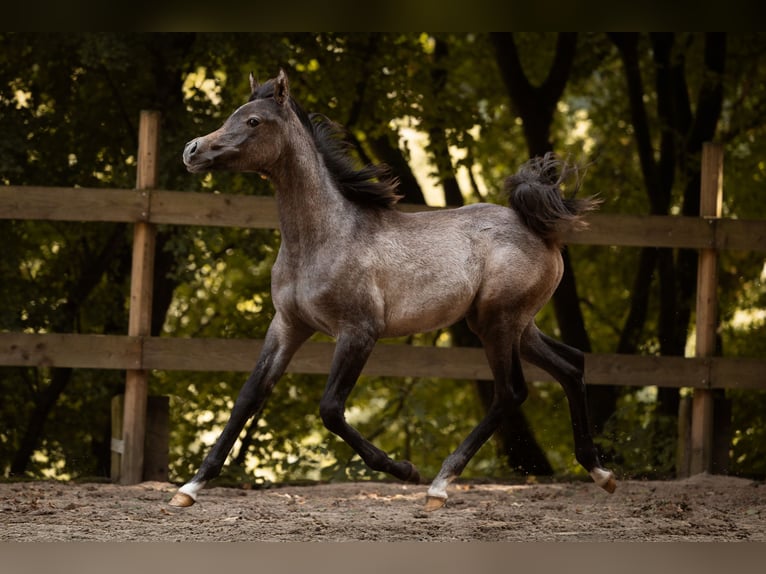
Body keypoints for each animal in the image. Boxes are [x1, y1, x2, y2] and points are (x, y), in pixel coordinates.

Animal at [170, 69, 616, 511]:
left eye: (253, 121)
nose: (192, 150)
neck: (323, 238)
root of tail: (541, 231)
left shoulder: (359, 331)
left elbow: (330, 409)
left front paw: (403, 469)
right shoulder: (288, 326)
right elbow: (248, 398)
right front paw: (189, 487)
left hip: (497, 323)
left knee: (511, 392)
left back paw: (439, 484)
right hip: (515, 325)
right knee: (571, 365)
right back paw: (600, 472)